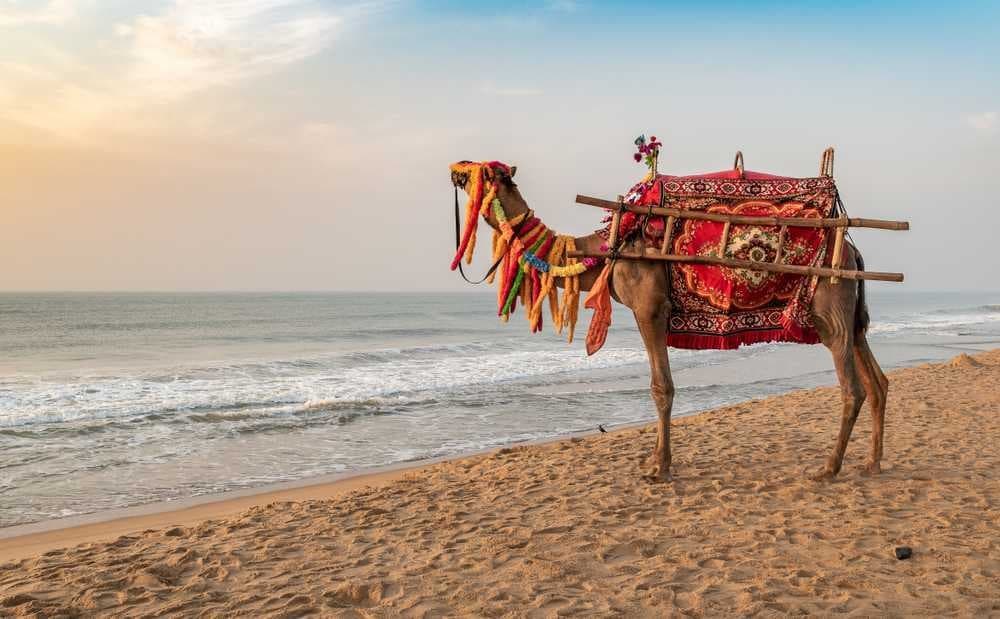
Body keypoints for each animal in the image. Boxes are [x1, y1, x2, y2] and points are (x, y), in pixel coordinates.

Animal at [450, 163, 889, 483]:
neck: (611, 246)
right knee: (877, 380)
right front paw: (657, 459)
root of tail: (851, 250)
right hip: (851, 314)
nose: (455, 171)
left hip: (829, 306)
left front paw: (658, 467)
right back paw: (872, 463)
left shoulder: (649, 308)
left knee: (852, 387)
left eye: (483, 172)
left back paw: (829, 468)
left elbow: (661, 387)